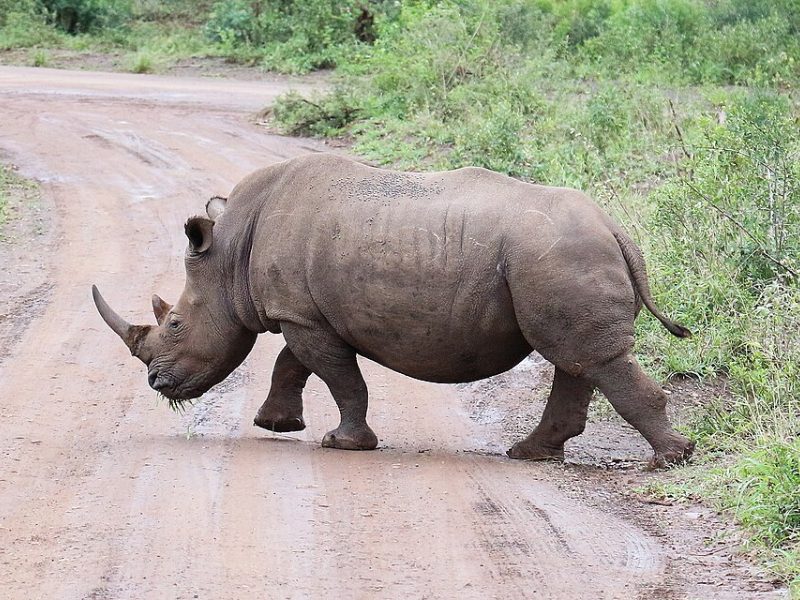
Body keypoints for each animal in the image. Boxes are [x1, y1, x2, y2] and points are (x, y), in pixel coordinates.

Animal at [93, 153, 695, 467]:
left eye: (175, 324)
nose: (156, 383)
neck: (231, 251)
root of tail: (615, 228)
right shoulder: (305, 313)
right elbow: (293, 363)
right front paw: (275, 424)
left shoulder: (302, 315)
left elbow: (338, 377)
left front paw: (342, 443)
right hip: (561, 257)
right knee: (577, 358)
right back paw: (529, 454)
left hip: (559, 255)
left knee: (587, 357)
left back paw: (670, 459)